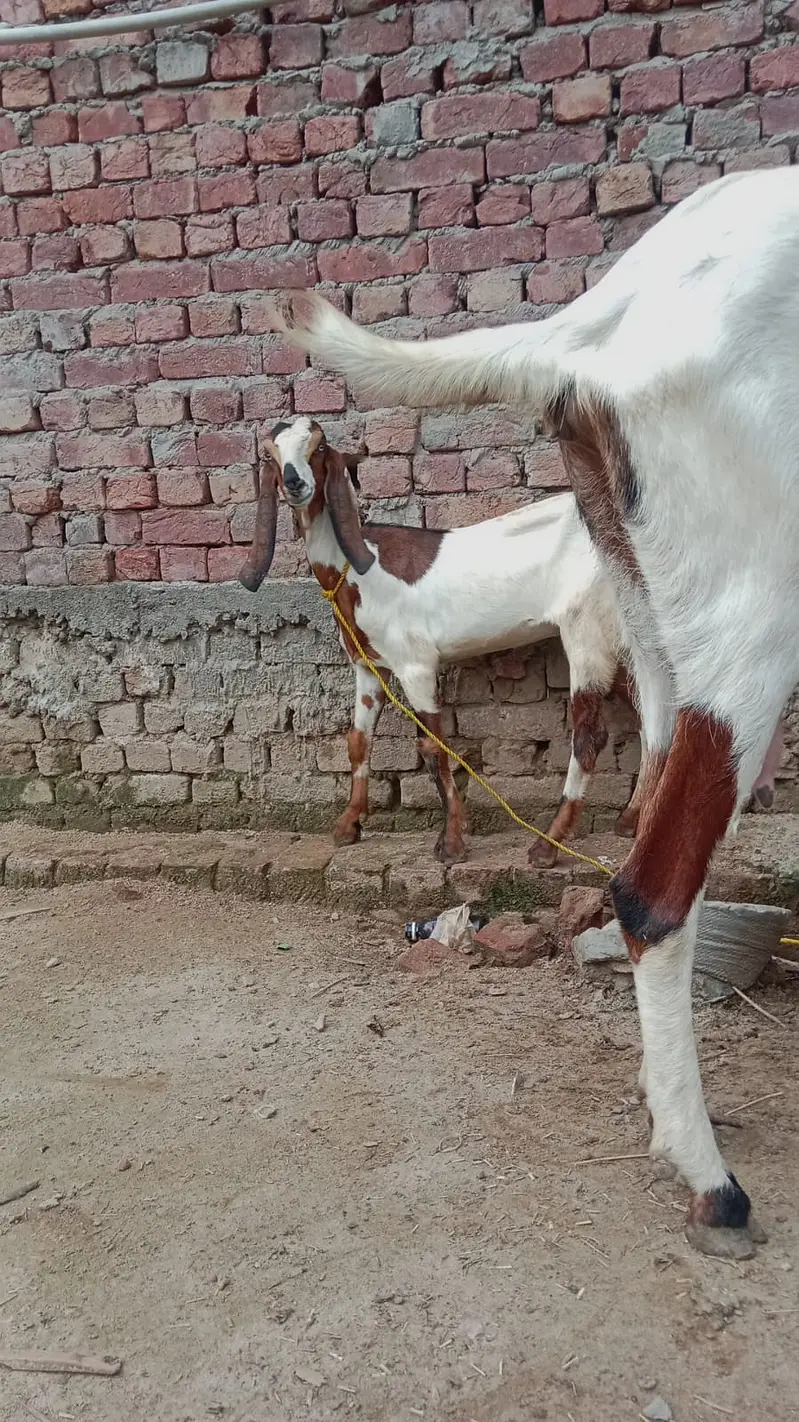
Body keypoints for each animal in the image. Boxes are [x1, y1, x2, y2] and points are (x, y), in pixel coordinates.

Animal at [240, 415, 648, 866]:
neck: (359, 570)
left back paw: (548, 844)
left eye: (319, 446)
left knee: (591, 737)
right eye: (270, 454)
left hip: (588, 629)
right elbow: (358, 741)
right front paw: (348, 825)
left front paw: (452, 841)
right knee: (653, 719)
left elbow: (433, 747)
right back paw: (631, 820)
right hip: (626, 638)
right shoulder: (369, 668)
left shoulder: (415, 665)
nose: (295, 483)